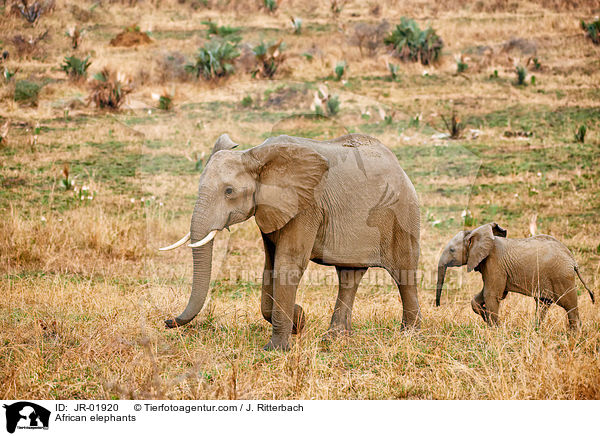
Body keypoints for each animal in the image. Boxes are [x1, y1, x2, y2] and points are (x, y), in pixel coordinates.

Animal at [159, 133, 422, 350]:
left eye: (229, 191)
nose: (167, 320)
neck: (258, 156)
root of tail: (399, 167)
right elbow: (271, 265)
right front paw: (300, 320)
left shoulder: (307, 205)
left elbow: (288, 264)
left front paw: (277, 348)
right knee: (349, 275)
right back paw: (335, 338)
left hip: (402, 214)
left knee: (403, 273)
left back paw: (409, 335)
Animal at [436, 223, 596, 328]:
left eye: (451, 250)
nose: (438, 306)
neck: (476, 234)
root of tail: (572, 260)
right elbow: (484, 295)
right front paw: (485, 316)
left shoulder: (495, 263)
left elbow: (491, 295)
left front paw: (494, 330)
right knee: (543, 303)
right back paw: (536, 330)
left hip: (562, 276)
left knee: (569, 306)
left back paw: (574, 335)